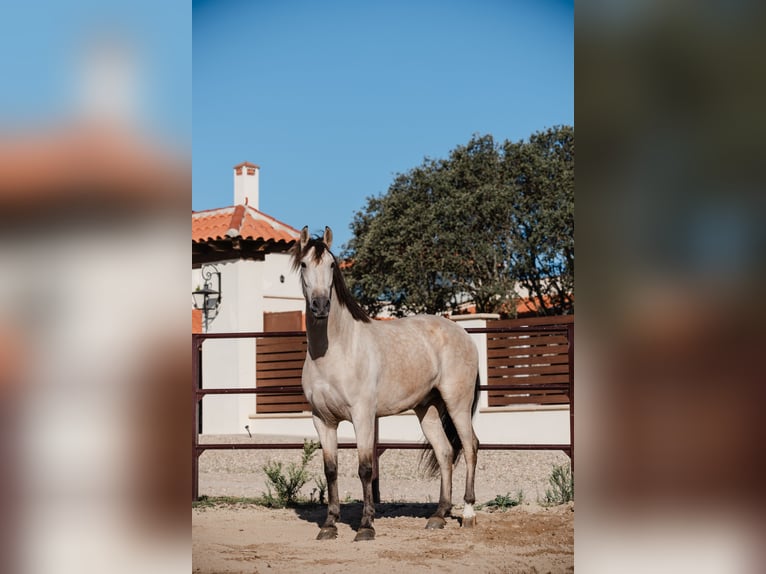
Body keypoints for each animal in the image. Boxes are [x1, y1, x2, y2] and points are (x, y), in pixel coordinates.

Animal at [292, 227, 480, 544]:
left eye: (331, 265)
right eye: (304, 265)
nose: (320, 306)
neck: (336, 351)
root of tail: (463, 334)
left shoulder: (363, 416)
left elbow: (365, 469)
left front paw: (366, 526)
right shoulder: (323, 420)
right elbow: (331, 470)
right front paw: (329, 525)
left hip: (458, 403)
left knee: (469, 447)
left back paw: (467, 514)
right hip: (427, 409)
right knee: (445, 452)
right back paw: (438, 516)